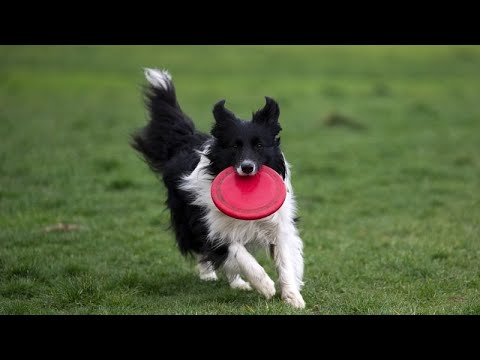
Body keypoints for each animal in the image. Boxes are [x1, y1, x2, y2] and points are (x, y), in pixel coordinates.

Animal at [130, 69, 304, 308]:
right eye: (234, 146)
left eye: (259, 145)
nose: (247, 167)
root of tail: (188, 139)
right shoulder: (211, 226)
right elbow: (237, 252)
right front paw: (265, 285)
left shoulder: (279, 224)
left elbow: (285, 260)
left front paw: (292, 297)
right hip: (187, 219)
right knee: (203, 249)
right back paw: (210, 275)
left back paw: (237, 283)